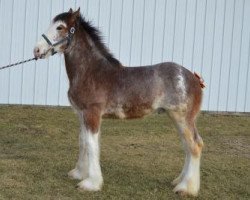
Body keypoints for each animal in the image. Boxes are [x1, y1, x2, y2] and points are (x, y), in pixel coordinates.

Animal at [34, 8, 204, 197]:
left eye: (60, 27)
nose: (37, 50)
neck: (91, 72)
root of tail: (194, 78)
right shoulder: (82, 115)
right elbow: (83, 142)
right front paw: (79, 173)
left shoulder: (92, 114)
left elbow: (91, 145)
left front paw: (91, 183)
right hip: (177, 118)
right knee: (187, 146)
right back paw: (179, 181)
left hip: (182, 118)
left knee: (195, 146)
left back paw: (186, 188)